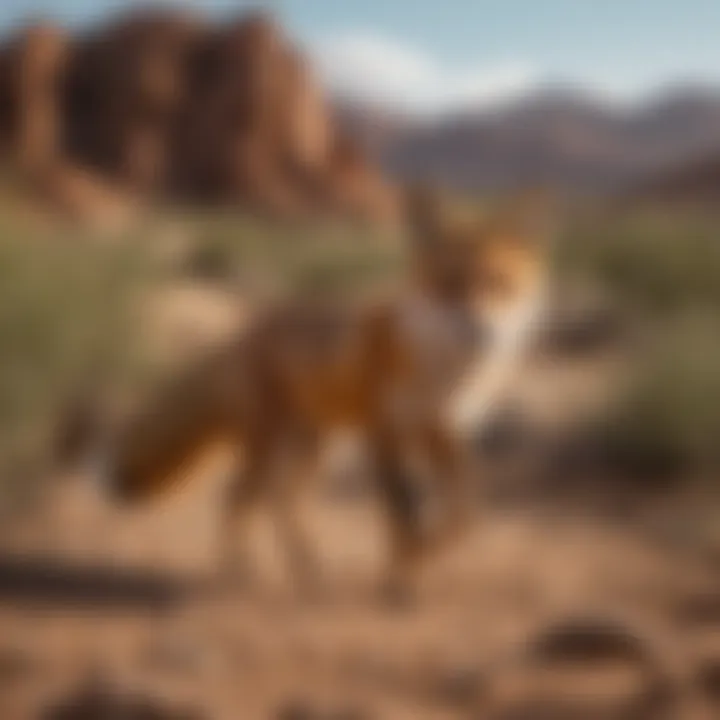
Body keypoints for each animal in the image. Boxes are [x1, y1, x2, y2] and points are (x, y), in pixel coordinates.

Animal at [57, 188, 552, 600]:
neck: (441, 370)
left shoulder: (441, 433)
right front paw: (400, 581)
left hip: (311, 449)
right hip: (272, 447)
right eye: (449, 285)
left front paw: (416, 565)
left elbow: (464, 517)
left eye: (500, 283)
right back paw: (238, 572)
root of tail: (244, 333)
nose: (480, 330)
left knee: (280, 503)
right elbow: (402, 520)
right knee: (238, 498)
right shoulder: (383, 433)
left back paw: (306, 571)